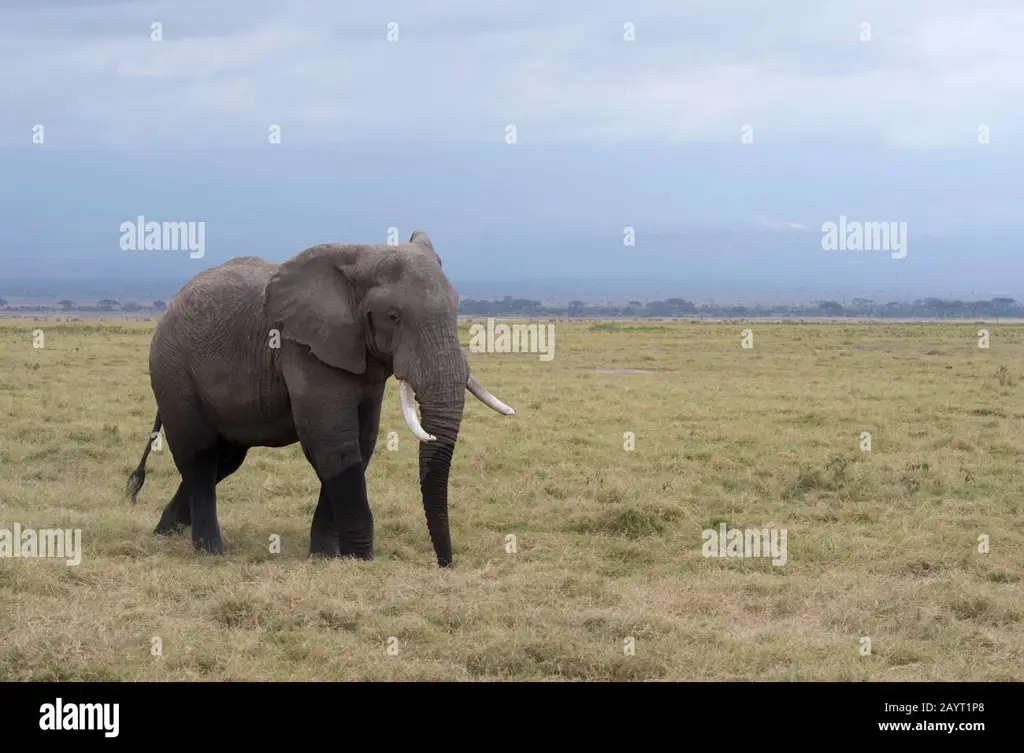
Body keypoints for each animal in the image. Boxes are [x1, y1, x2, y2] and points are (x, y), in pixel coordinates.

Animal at [124, 232, 516, 569]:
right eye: (393, 317)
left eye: (457, 308)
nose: (444, 564)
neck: (360, 259)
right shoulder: (303, 347)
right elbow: (334, 443)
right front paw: (359, 560)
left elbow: (362, 442)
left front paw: (327, 557)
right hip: (173, 370)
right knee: (200, 456)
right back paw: (211, 552)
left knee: (225, 460)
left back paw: (164, 533)